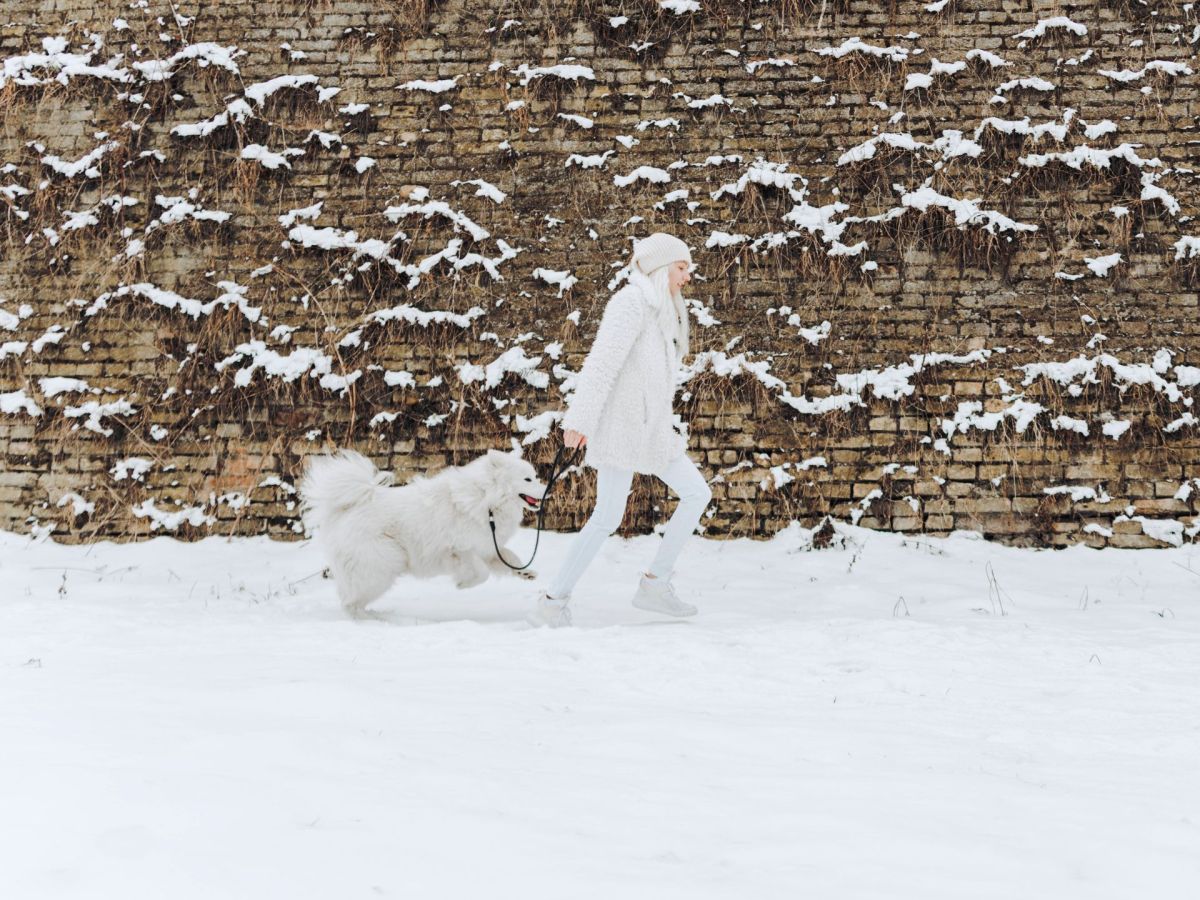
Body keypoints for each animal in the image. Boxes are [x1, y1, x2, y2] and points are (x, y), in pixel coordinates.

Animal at [297, 448, 547, 619]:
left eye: (534, 476)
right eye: (528, 479)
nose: (547, 491)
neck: (487, 501)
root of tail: (345, 510)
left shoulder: (487, 546)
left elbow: (509, 557)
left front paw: (526, 573)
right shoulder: (458, 549)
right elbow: (481, 572)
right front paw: (463, 584)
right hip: (382, 565)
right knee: (350, 603)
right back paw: (371, 620)